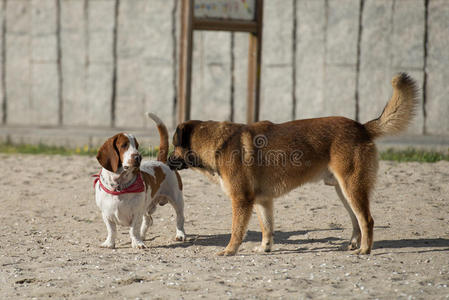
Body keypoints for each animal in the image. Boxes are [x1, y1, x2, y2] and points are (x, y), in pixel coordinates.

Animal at [94, 112, 186, 248]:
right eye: (124, 145)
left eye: (137, 146)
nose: (138, 157)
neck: (120, 187)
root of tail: (161, 162)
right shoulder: (106, 215)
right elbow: (111, 230)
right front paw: (109, 243)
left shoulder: (136, 213)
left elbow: (133, 230)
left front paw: (137, 243)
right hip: (148, 206)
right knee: (148, 220)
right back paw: (142, 235)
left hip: (177, 199)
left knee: (180, 218)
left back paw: (180, 234)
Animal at [167, 73, 416, 255]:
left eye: (173, 145)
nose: (166, 161)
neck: (219, 143)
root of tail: (362, 127)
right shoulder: (262, 201)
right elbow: (267, 228)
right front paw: (265, 248)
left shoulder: (241, 200)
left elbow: (236, 230)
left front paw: (229, 251)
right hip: (344, 192)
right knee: (356, 220)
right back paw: (354, 244)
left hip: (352, 188)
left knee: (367, 220)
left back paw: (364, 249)